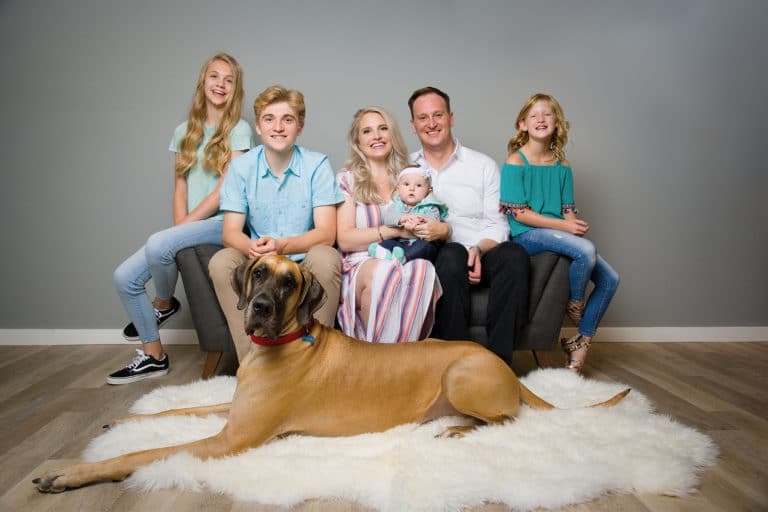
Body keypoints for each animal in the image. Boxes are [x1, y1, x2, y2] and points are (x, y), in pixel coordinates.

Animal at [31, 255, 632, 492]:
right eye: (258, 272)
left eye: (290, 282)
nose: (260, 307)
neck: (282, 343)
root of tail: (504, 366)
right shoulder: (231, 413)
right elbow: (182, 407)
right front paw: (120, 423)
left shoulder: (230, 440)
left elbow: (146, 454)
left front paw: (69, 472)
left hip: (462, 375)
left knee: (510, 420)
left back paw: (457, 432)